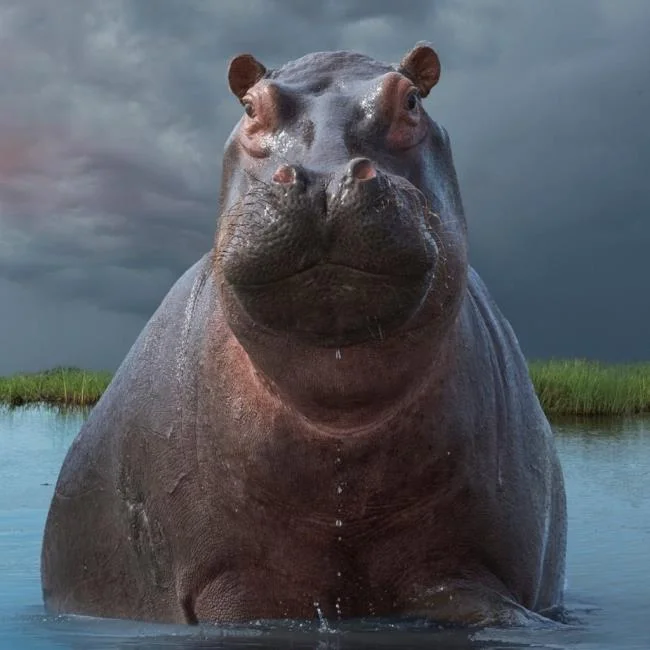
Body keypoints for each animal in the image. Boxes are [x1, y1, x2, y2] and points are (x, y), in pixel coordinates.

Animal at [41, 43, 567, 627]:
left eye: (411, 100)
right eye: (250, 106)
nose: (325, 178)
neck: (338, 415)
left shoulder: (466, 569)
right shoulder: (230, 581)